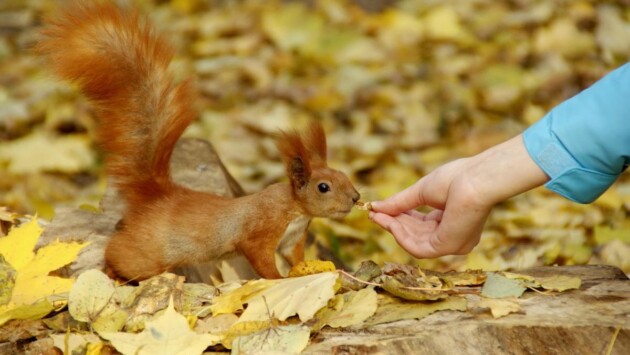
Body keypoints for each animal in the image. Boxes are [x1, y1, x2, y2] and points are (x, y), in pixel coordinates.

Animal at [39, 2, 360, 280]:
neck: (294, 209)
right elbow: (261, 261)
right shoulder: (260, 231)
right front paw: (278, 279)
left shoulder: (293, 240)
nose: (356, 198)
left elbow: (297, 259)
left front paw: (312, 269)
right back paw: (112, 270)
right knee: (119, 252)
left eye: (344, 175)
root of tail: (160, 196)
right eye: (323, 187)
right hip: (148, 253)